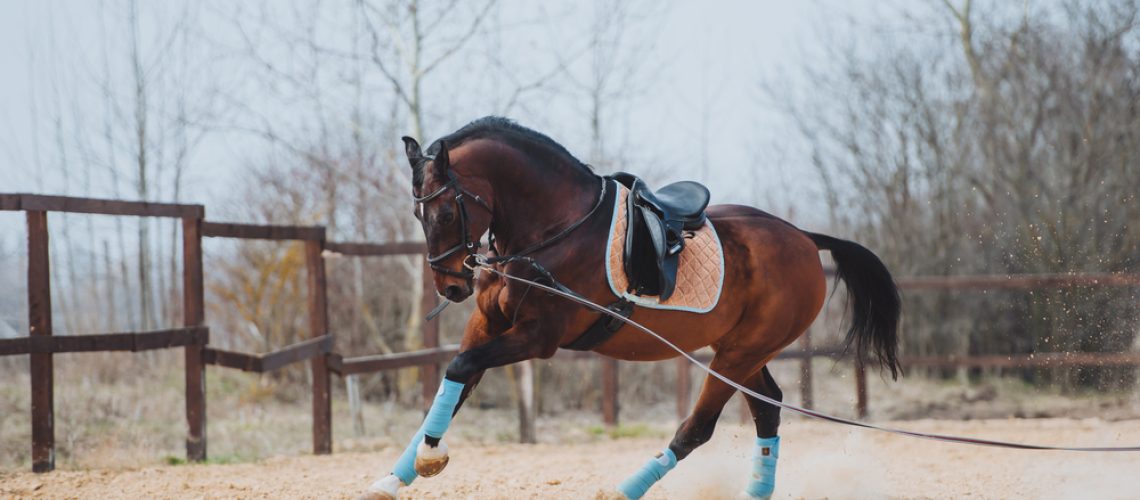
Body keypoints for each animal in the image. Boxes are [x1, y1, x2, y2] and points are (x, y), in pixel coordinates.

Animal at [361, 116, 901, 499]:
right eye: (417, 213)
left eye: (444, 213)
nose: (450, 286)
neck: (552, 231)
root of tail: (805, 238)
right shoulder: (486, 324)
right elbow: (456, 382)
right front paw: (397, 476)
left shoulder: (538, 338)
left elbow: (460, 367)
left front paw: (429, 459)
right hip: (742, 353)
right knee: (767, 412)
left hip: (740, 354)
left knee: (697, 430)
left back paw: (621, 493)